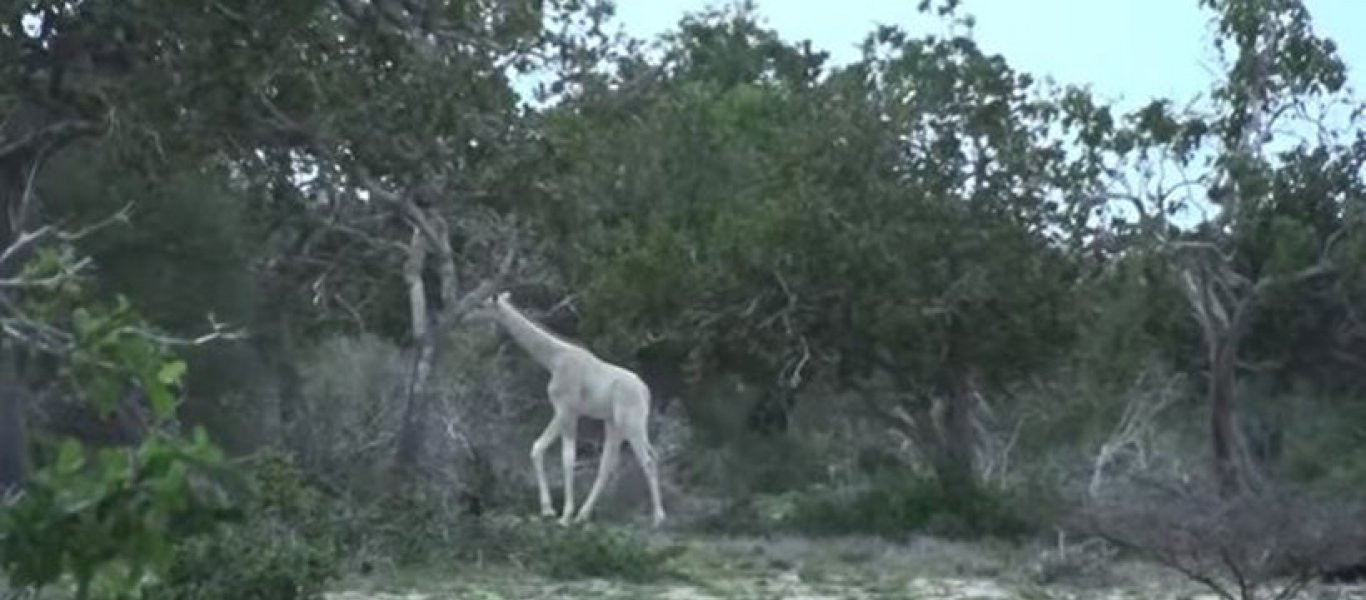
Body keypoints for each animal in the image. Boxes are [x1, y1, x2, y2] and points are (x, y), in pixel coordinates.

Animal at [464, 293, 666, 527]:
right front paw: (549, 510)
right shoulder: (561, 411)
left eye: (483, 304)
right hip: (614, 423)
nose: (466, 317)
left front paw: (564, 515)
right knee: (613, 464)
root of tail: (646, 392)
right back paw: (584, 515)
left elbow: (567, 458)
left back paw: (658, 519)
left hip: (631, 422)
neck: (553, 360)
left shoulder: (567, 409)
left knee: (648, 460)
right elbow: (538, 448)